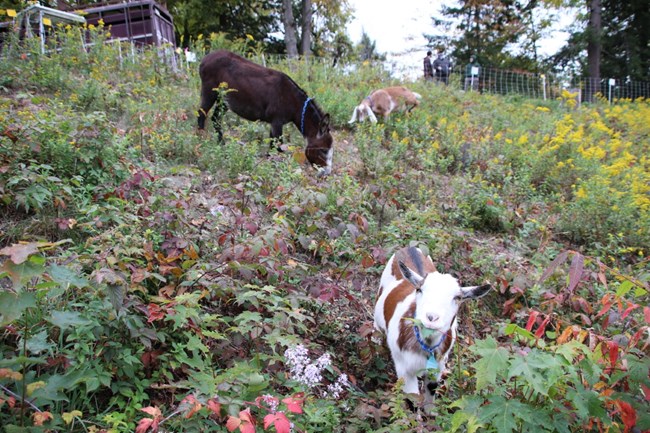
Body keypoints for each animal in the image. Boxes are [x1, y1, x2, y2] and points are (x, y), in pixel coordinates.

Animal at [373, 246, 491, 402]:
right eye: (419, 290)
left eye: (457, 298)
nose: (431, 317)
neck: (426, 346)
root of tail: (410, 248)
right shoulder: (404, 368)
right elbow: (412, 398)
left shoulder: (437, 368)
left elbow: (430, 392)